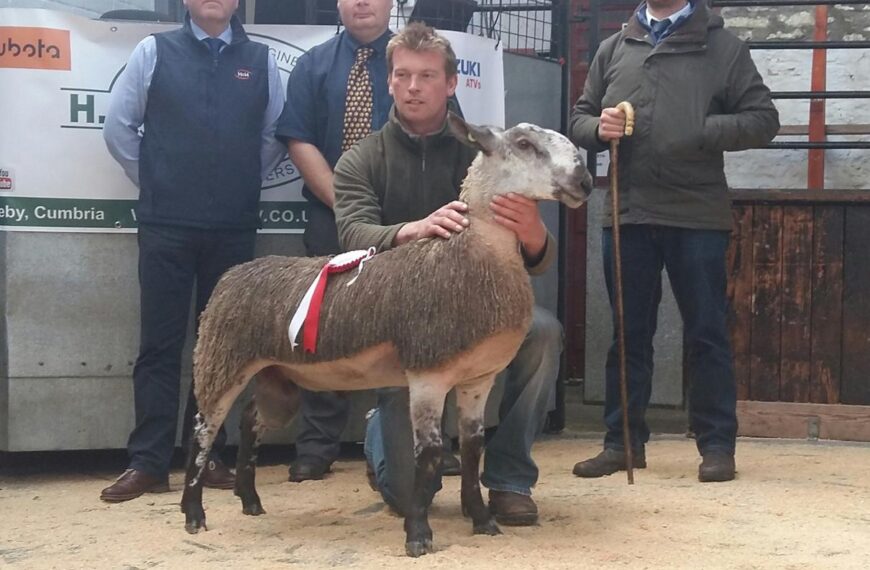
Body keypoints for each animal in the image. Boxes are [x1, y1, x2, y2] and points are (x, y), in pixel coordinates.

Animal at [180, 113, 594, 557]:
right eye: (524, 145)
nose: (585, 181)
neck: (473, 257)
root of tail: (232, 275)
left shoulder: (478, 379)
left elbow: (472, 449)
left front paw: (483, 521)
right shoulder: (428, 375)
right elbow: (429, 456)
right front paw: (418, 535)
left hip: (279, 377)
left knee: (251, 421)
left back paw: (250, 500)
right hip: (220, 360)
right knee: (203, 430)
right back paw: (193, 514)